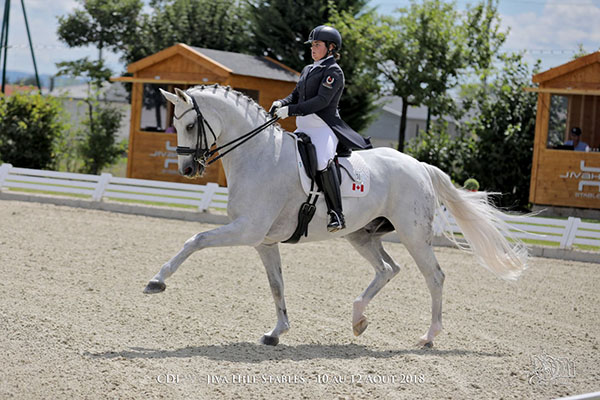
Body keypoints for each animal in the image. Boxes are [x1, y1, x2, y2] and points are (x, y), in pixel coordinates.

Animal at [144, 85, 524, 346]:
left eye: (189, 125)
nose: (188, 169)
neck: (260, 155)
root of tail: (419, 165)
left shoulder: (247, 230)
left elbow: (195, 240)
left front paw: (157, 281)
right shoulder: (263, 241)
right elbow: (277, 285)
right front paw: (276, 332)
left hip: (414, 235)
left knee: (435, 277)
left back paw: (428, 336)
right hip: (362, 235)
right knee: (388, 269)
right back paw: (358, 319)